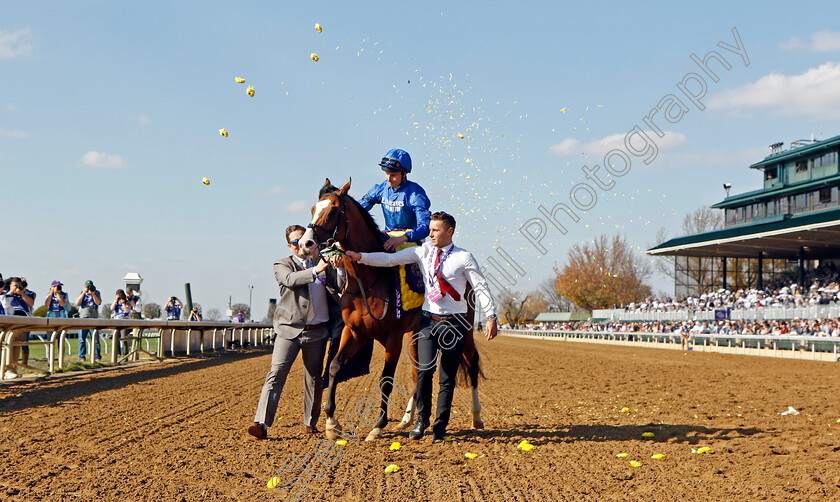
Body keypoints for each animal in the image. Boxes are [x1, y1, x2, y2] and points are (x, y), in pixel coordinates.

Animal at [300, 178, 486, 442]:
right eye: (313, 208)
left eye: (334, 211)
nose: (306, 244)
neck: (370, 279)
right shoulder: (355, 331)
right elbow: (335, 366)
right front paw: (331, 422)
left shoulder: (393, 337)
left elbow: (385, 380)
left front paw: (377, 426)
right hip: (416, 333)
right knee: (418, 371)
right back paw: (408, 419)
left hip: (465, 329)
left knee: (472, 361)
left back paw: (476, 415)